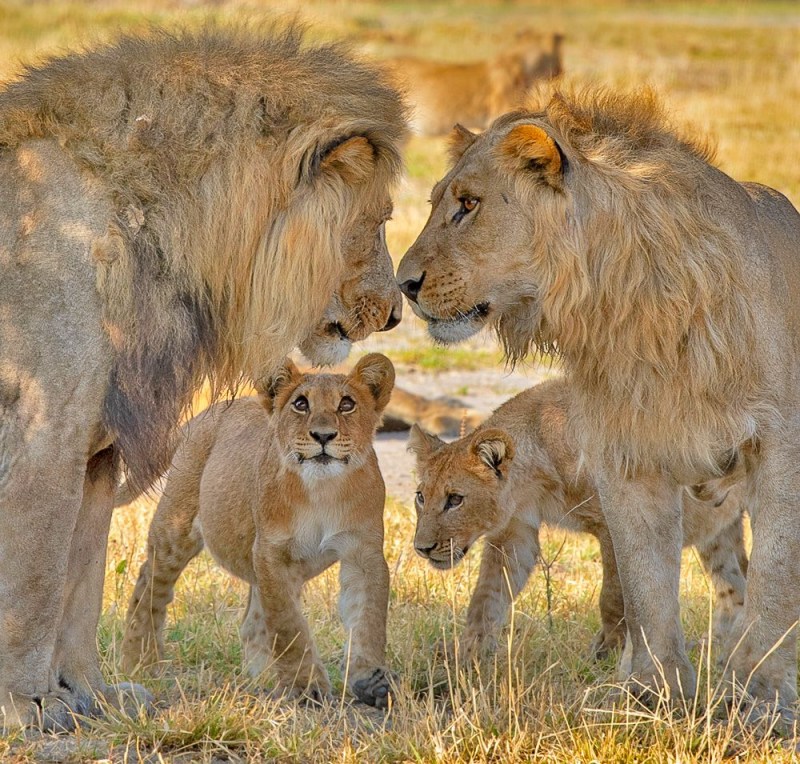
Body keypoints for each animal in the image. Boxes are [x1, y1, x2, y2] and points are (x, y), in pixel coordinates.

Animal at [122, 356, 396, 708]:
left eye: (346, 404)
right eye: (301, 404)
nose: (323, 435)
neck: (322, 490)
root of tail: (204, 415)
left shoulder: (363, 552)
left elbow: (369, 617)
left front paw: (370, 679)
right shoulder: (271, 552)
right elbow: (288, 625)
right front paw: (307, 687)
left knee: (251, 623)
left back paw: (263, 678)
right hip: (176, 528)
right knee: (151, 583)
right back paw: (139, 662)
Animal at [410, 380, 748, 660]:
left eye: (455, 499)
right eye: (421, 497)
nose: (422, 549)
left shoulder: (617, 524)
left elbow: (613, 596)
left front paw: (608, 653)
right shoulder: (514, 531)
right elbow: (486, 597)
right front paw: (468, 655)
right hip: (719, 530)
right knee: (734, 586)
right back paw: (720, 650)